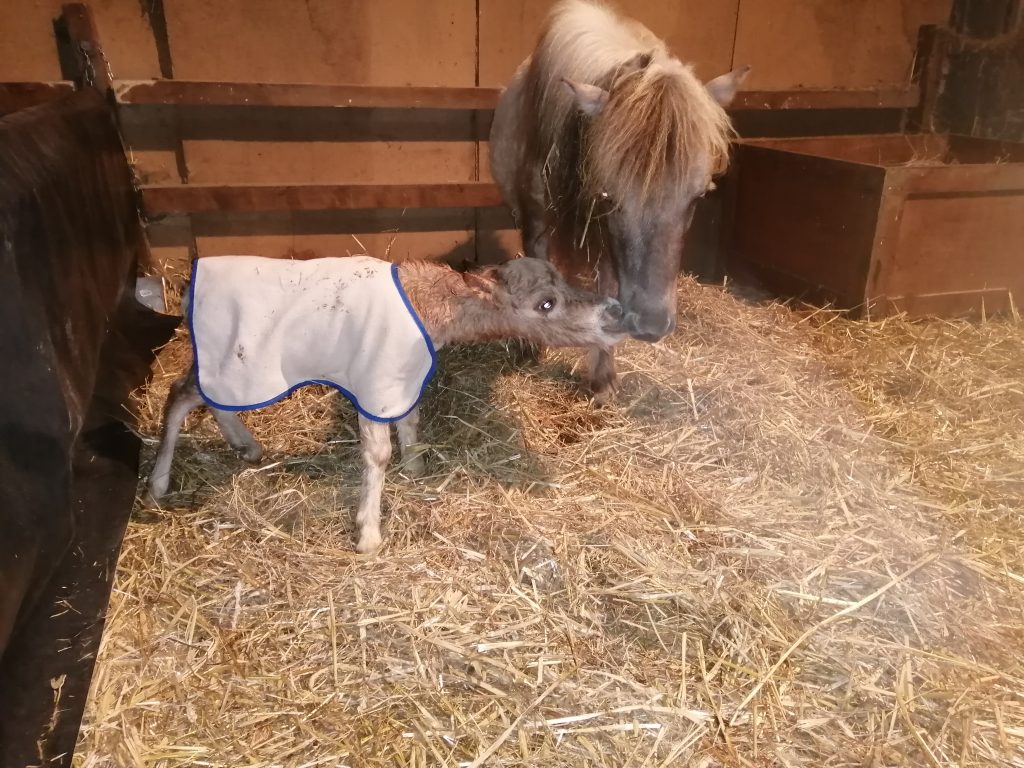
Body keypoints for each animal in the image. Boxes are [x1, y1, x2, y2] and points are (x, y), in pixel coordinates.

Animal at [148, 254, 627, 553]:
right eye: (546, 303)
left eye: (563, 280)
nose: (616, 310)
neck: (431, 308)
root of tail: (188, 287)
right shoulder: (373, 378)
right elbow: (377, 453)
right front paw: (369, 534)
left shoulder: (401, 372)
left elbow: (410, 420)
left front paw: (414, 468)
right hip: (242, 357)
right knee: (180, 393)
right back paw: (158, 481)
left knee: (209, 397)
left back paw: (245, 446)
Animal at [489, 0, 749, 400]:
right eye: (609, 195)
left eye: (698, 196)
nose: (651, 324)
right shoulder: (536, 220)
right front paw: (534, 345)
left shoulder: (606, 244)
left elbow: (608, 292)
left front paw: (602, 376)